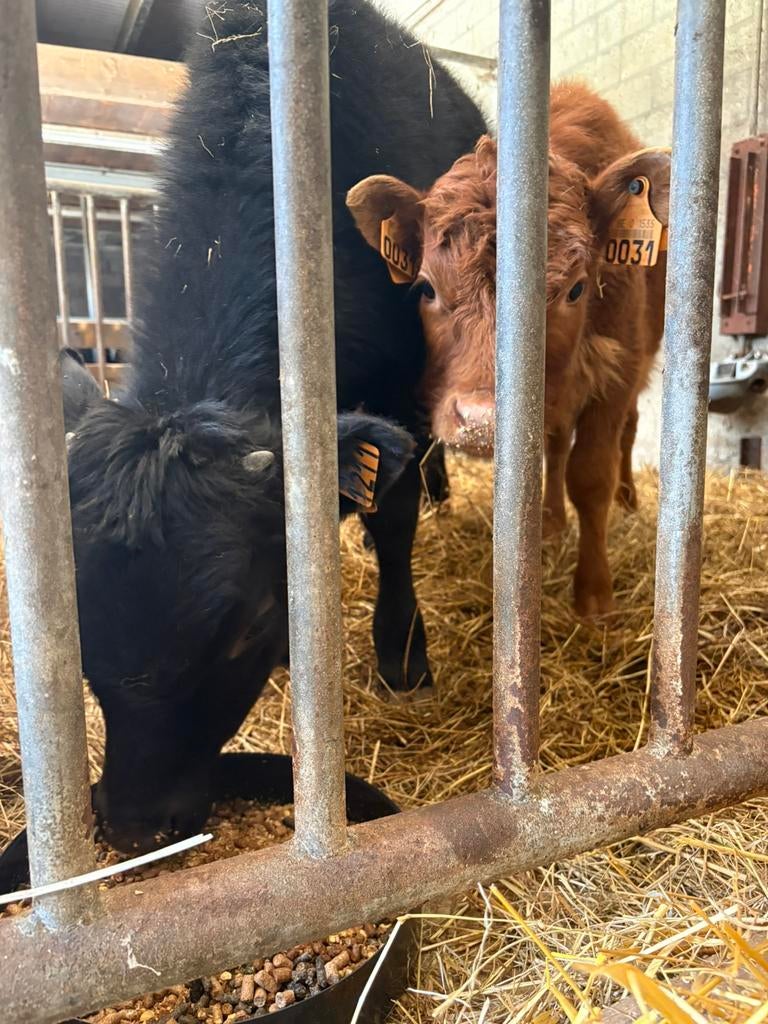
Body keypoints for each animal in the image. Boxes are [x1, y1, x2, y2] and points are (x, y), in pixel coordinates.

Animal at [65, 0, 486, 852]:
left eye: (241, 628)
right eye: (79, 616)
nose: (131, 822)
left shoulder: (400, 389)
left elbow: (393, 522)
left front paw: (403, 655)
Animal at [346, 81, 670, 619]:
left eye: (576, 289)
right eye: (427, 289)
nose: (482, 421)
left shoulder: (618, 373)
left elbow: (591, 476)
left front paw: (594, 594)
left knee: (627, 433)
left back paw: (627, 499)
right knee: (556, 449)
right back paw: (552, 521)